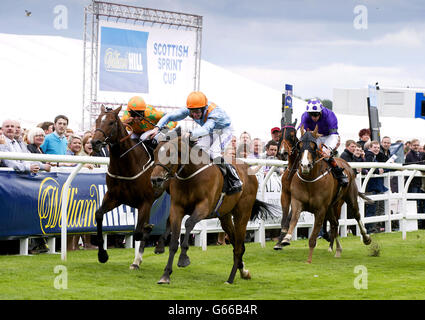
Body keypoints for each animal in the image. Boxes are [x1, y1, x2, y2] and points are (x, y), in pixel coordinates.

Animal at [91, 105, 169, 270]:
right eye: (97, 120)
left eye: (111, 122)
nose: (95, 142)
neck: (127, 164)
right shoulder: (114, 197)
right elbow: (99, 215)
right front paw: (102, 255)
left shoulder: (145, 201)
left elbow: (139, 231)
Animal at [150, 127, 278, 284]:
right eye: (155, 153)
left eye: (171, 153)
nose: (155, 180)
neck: (191, 176)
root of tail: (250, 172)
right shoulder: (177, 208)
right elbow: (173, 241)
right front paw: (166, 274)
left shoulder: (204, 207)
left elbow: (189, 223)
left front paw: (183, 258)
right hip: (225, 217)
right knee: (237, 244)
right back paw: (243, 271)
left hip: (242, 214)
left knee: (238, 246)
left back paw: (230, 278)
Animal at [280, 125, 370, 262]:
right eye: (299, 145)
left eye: (313, 146)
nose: (305, 165)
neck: (309, 180)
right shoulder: (297, 202)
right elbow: (293, 219)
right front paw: (286, 238)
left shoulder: (321, 209)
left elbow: (313, 236)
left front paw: (309, 260)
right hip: (331, 206)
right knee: (334, 223)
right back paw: (337, 249)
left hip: (349, 198)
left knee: (357, 215)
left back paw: (366, 238)